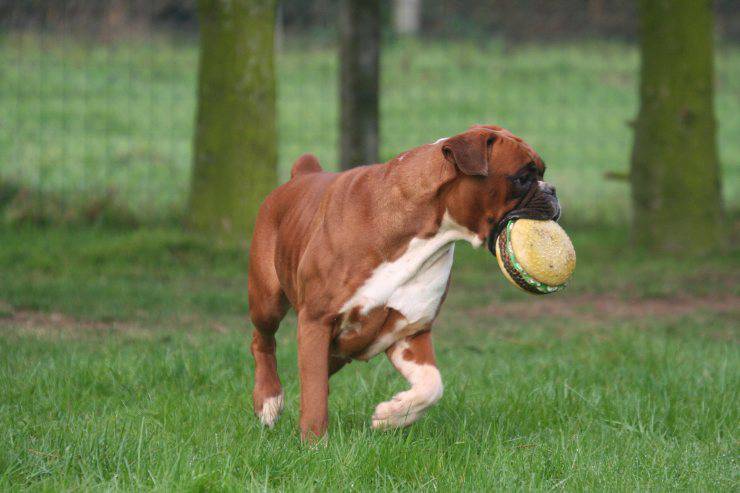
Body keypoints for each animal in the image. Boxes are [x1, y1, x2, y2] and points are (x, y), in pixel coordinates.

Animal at [246, 124, 556, 438]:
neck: (427, 232)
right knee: (262, 341)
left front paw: (392, 415)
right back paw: (268, 400)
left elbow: (431, 385)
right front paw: (314, 442)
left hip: (335, 349)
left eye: (542, 173)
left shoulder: (409, 333)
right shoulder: (316, 322)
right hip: (268, 302)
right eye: (522, 178)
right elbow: (314, 396)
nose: (552, 191)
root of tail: (301, 175)